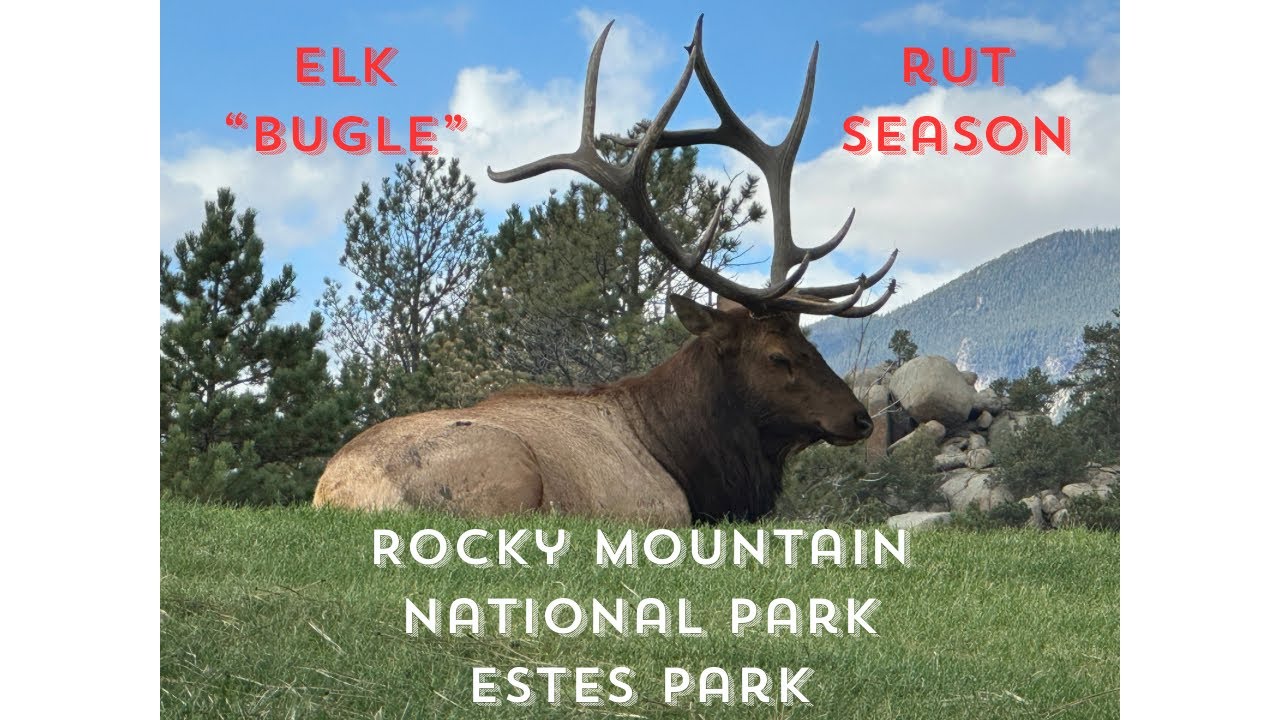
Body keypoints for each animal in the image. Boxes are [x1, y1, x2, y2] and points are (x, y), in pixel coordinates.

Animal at [313, 15, 898, 525]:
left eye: (811, 343)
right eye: (778, 355)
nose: (860, 417)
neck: (690, 462)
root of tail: (334, 495)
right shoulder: (665, 509)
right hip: (504, 464)